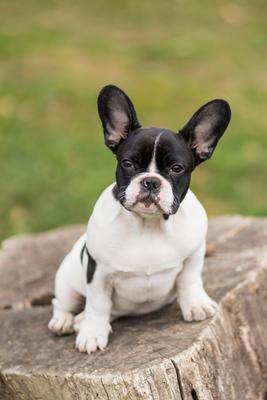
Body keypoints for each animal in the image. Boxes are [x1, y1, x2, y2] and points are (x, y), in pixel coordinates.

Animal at [48, 84, 232, 354]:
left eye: (176, 168)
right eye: (128, 163)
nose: (151, 181)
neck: (149, 224)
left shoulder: (195, 252)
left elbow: (190, 278)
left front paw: (196, 305)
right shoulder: (98, 272)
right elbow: (98, 304)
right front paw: (92, 333)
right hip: (67, 282)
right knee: (63, 302)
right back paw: (64, 321)